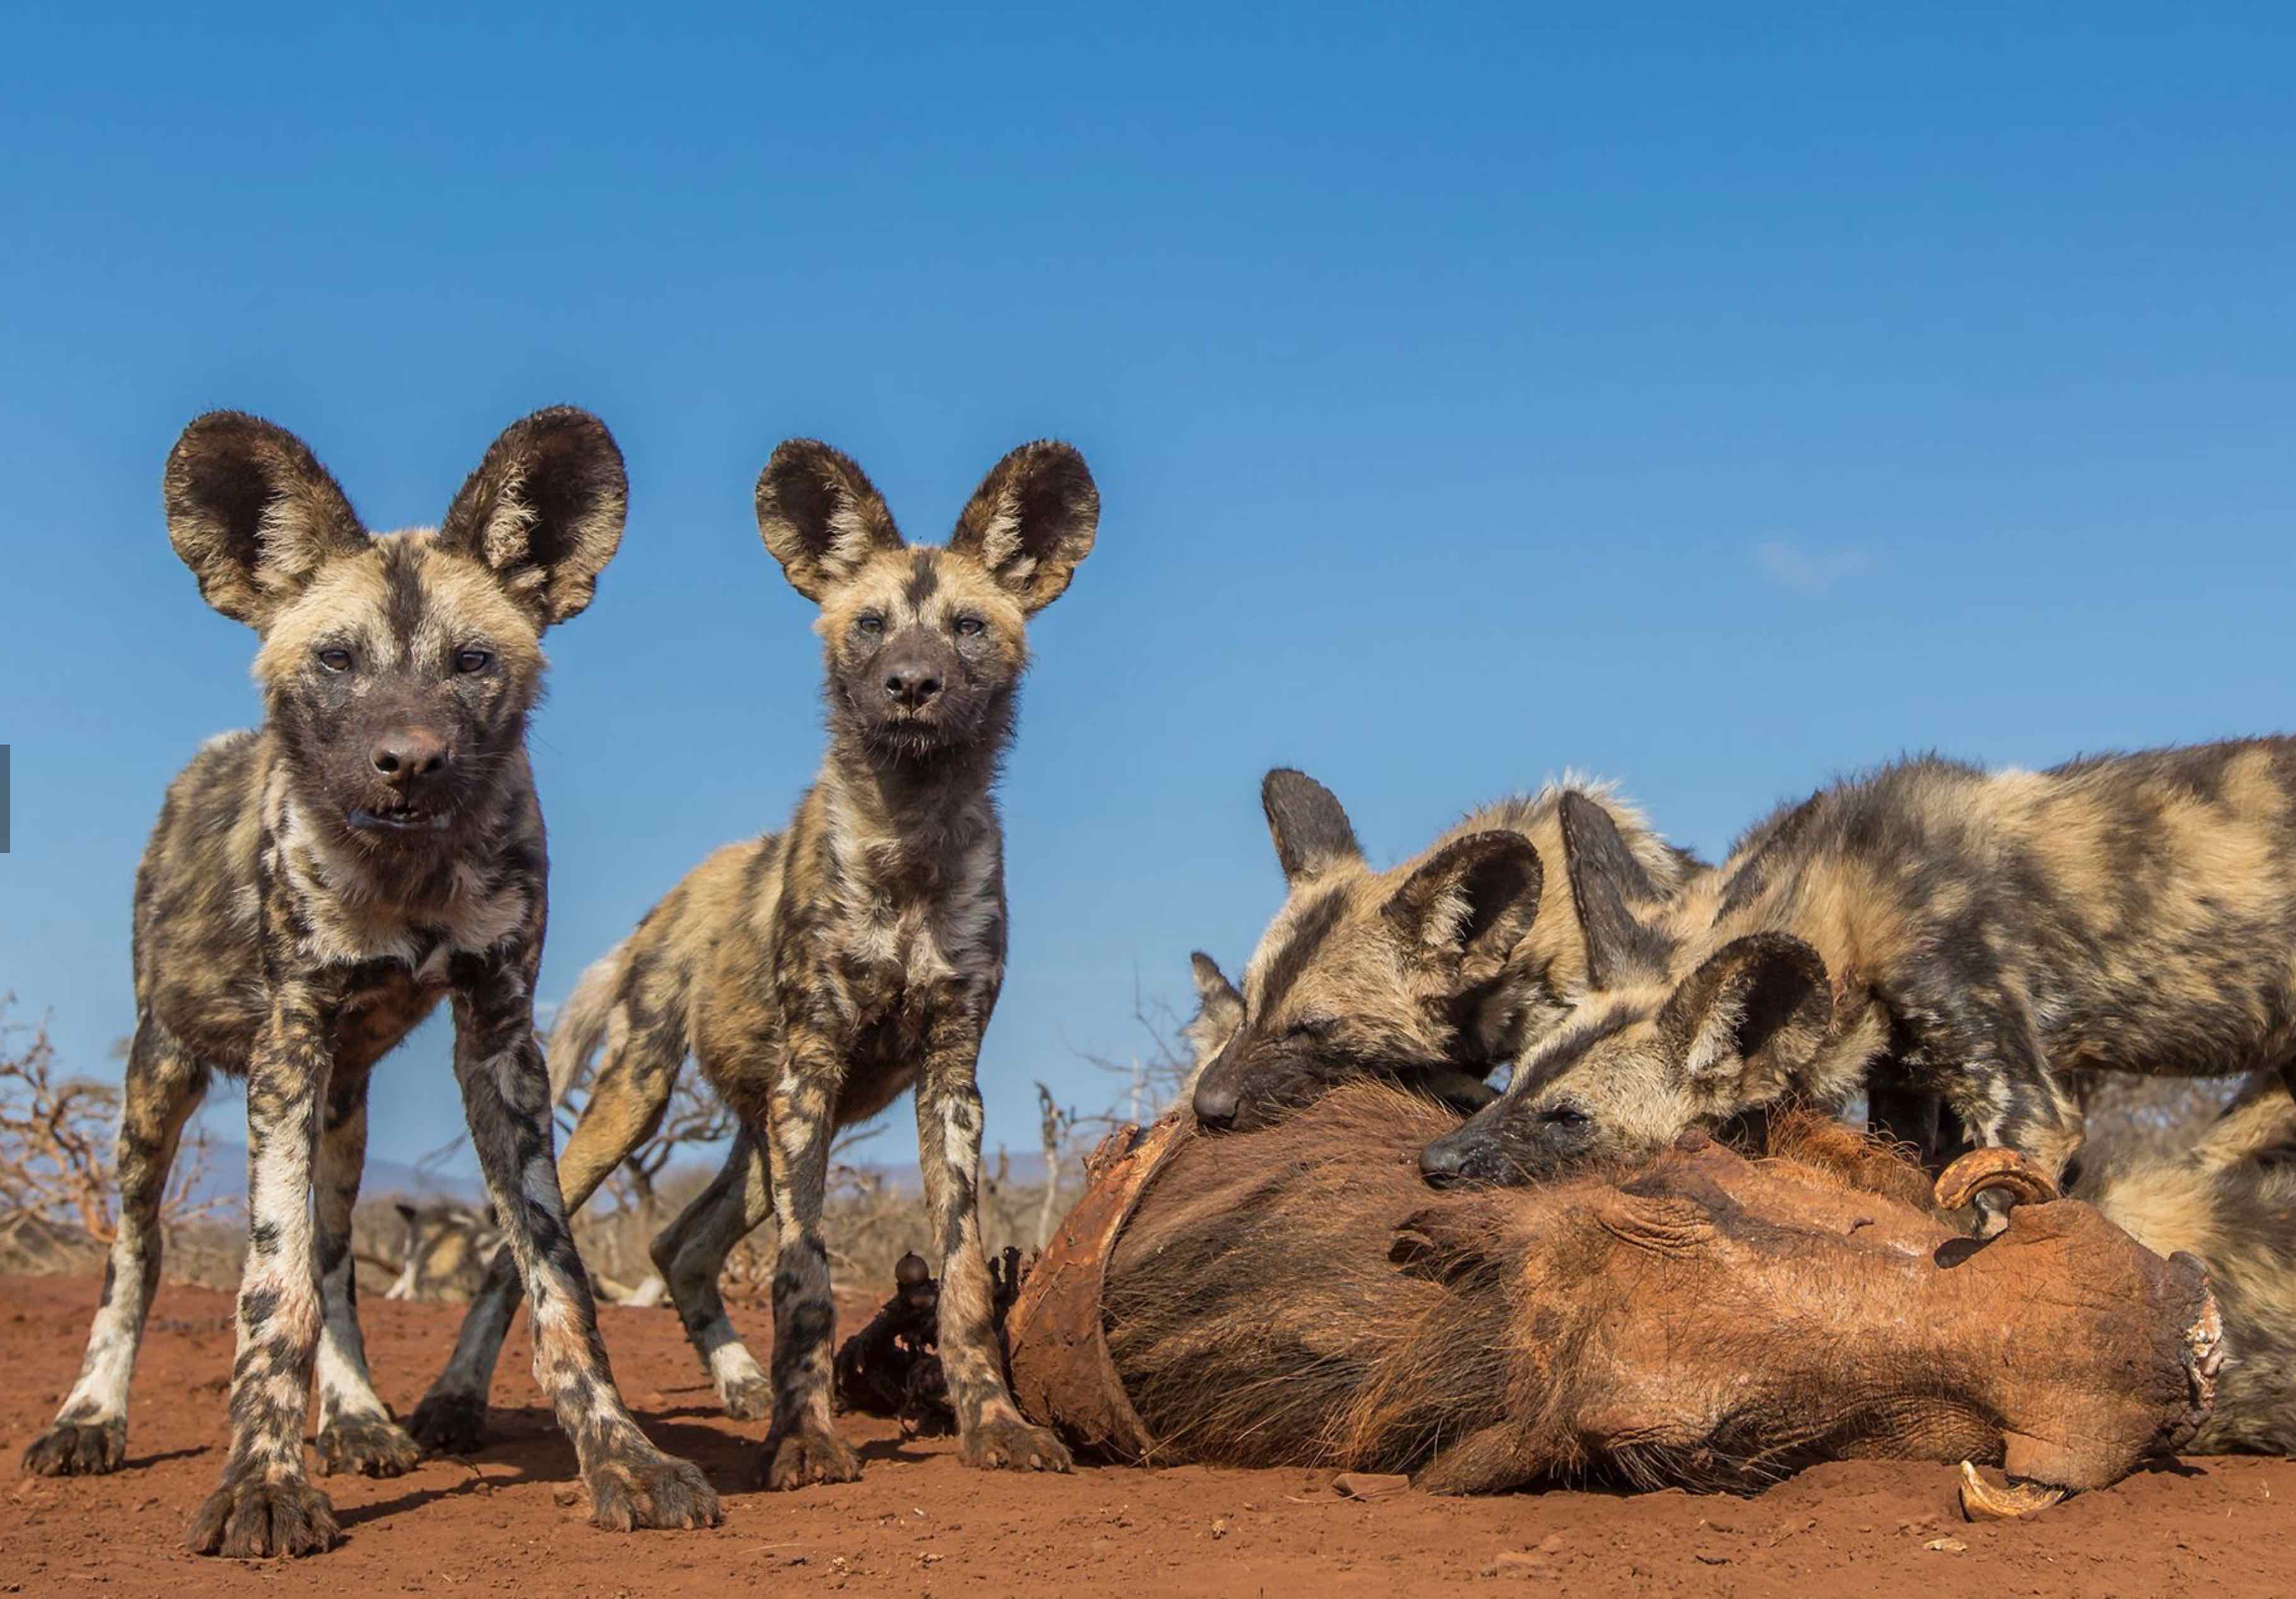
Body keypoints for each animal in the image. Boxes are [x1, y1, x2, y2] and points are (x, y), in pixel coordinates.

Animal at [18, 406, 716, 1550]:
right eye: (337, 661)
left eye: (471, 661)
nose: (410, 759)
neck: (407, 874)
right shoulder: (287, 1045)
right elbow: (270, 1288)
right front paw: (261, 1483)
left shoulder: (499, 1044)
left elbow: (555, 1280)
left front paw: (622, 1457)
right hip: (158, 1087)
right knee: (136, 1257)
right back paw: (90, 1417)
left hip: (343, 1114)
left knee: (339, 1254)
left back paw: (356, 1418)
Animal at [406, 435, 1092, 1486]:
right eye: (870, 625)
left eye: (968, 627)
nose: (910, 684)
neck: (908, 839)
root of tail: (673, 898)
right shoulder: (811, 1063)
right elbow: (804, 1277)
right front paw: (805, 1439)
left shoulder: (949, 1079)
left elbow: (963, 1275)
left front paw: (993, 1421)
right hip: (647, 1098)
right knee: (513, 1250)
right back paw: (452, 1404)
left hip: (768, 1132)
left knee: (679, 1242)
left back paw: (737, 1385)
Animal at [1414, 743, 2296, 1229]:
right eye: (1516, 1080)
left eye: (1569, 1118)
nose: (1434, 1161)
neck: (1849, 901)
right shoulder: (1905, 1090)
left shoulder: (2024, 1114)